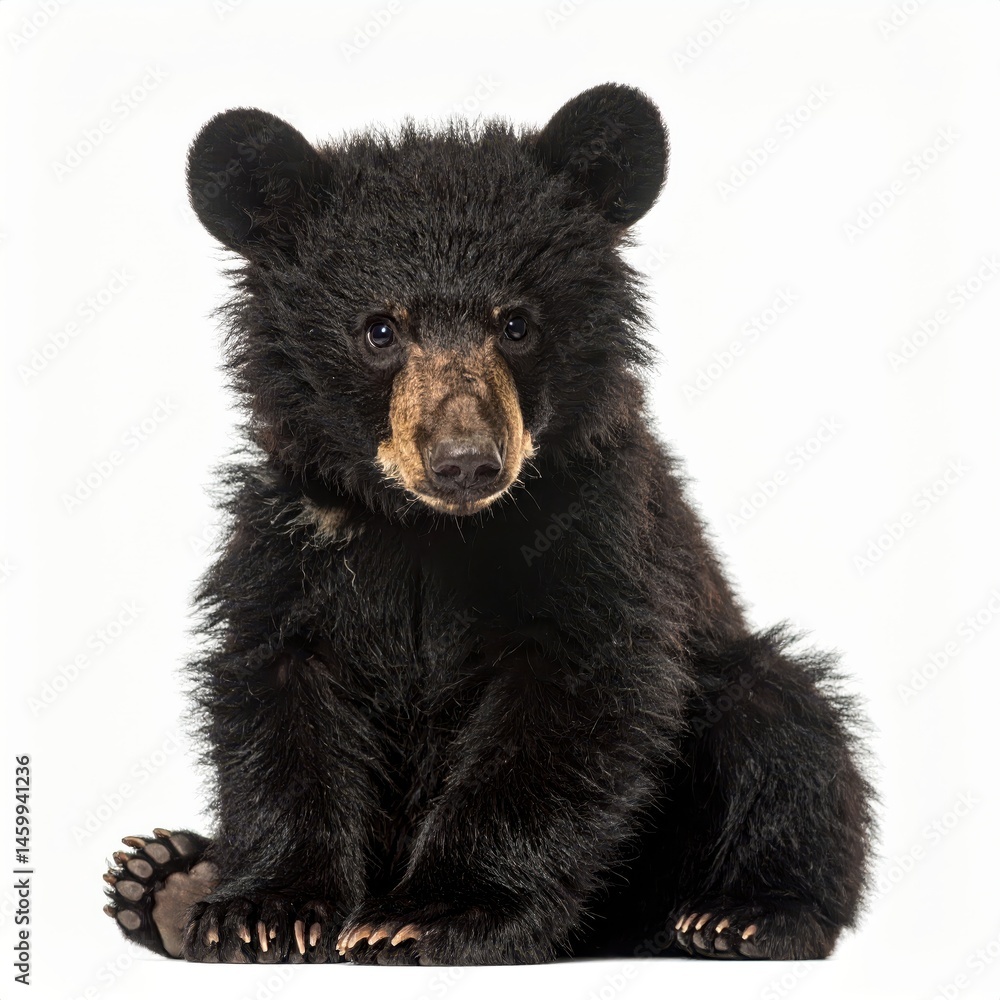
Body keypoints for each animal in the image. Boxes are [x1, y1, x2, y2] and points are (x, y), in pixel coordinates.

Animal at [102, 83, 874, 965]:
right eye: (379, 329)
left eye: (517, 324)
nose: (465, 462)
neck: (428, 533)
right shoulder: (290, 541)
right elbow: (278, 692)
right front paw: (260, 910)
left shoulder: (598, 534)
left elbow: (570, 704)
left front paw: (429, 914)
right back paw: (163, 878)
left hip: (730, 698)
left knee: (784, 729)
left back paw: (740, 913)